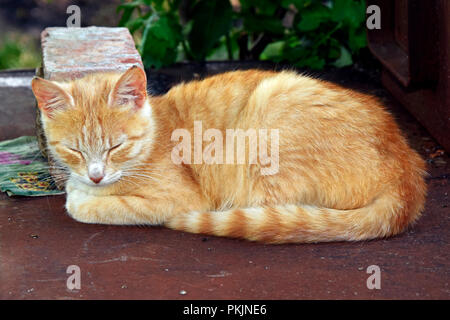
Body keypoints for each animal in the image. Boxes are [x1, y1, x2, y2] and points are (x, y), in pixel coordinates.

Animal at [31, 66, 426, 244]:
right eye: (73, 149)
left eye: (116, 145)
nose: (96, 174)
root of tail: (407, 168)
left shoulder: (178, 199)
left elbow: (89, 205)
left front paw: (83, 195)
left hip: (267, 121)